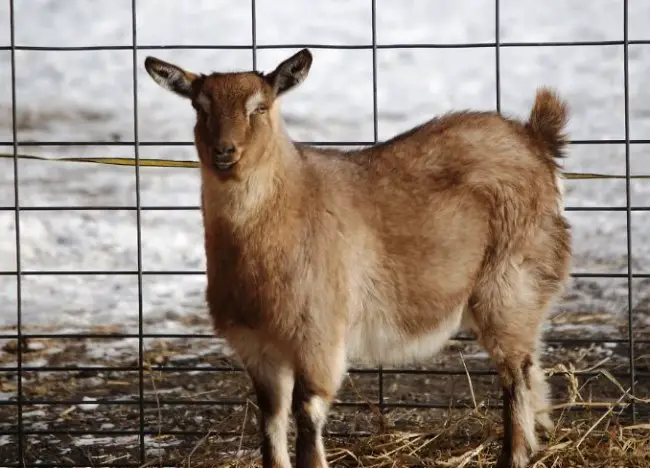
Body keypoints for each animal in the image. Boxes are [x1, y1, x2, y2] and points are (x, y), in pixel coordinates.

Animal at [144, 48, 568, 468]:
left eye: (259, 107)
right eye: (200, 107)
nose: (224, 152)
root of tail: (535, 140)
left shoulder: (318, 334)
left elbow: (307, 413)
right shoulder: (256, 346)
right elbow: (271, 419)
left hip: (510, 282)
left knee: (515, 374)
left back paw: (514, 454)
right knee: (530, 366)